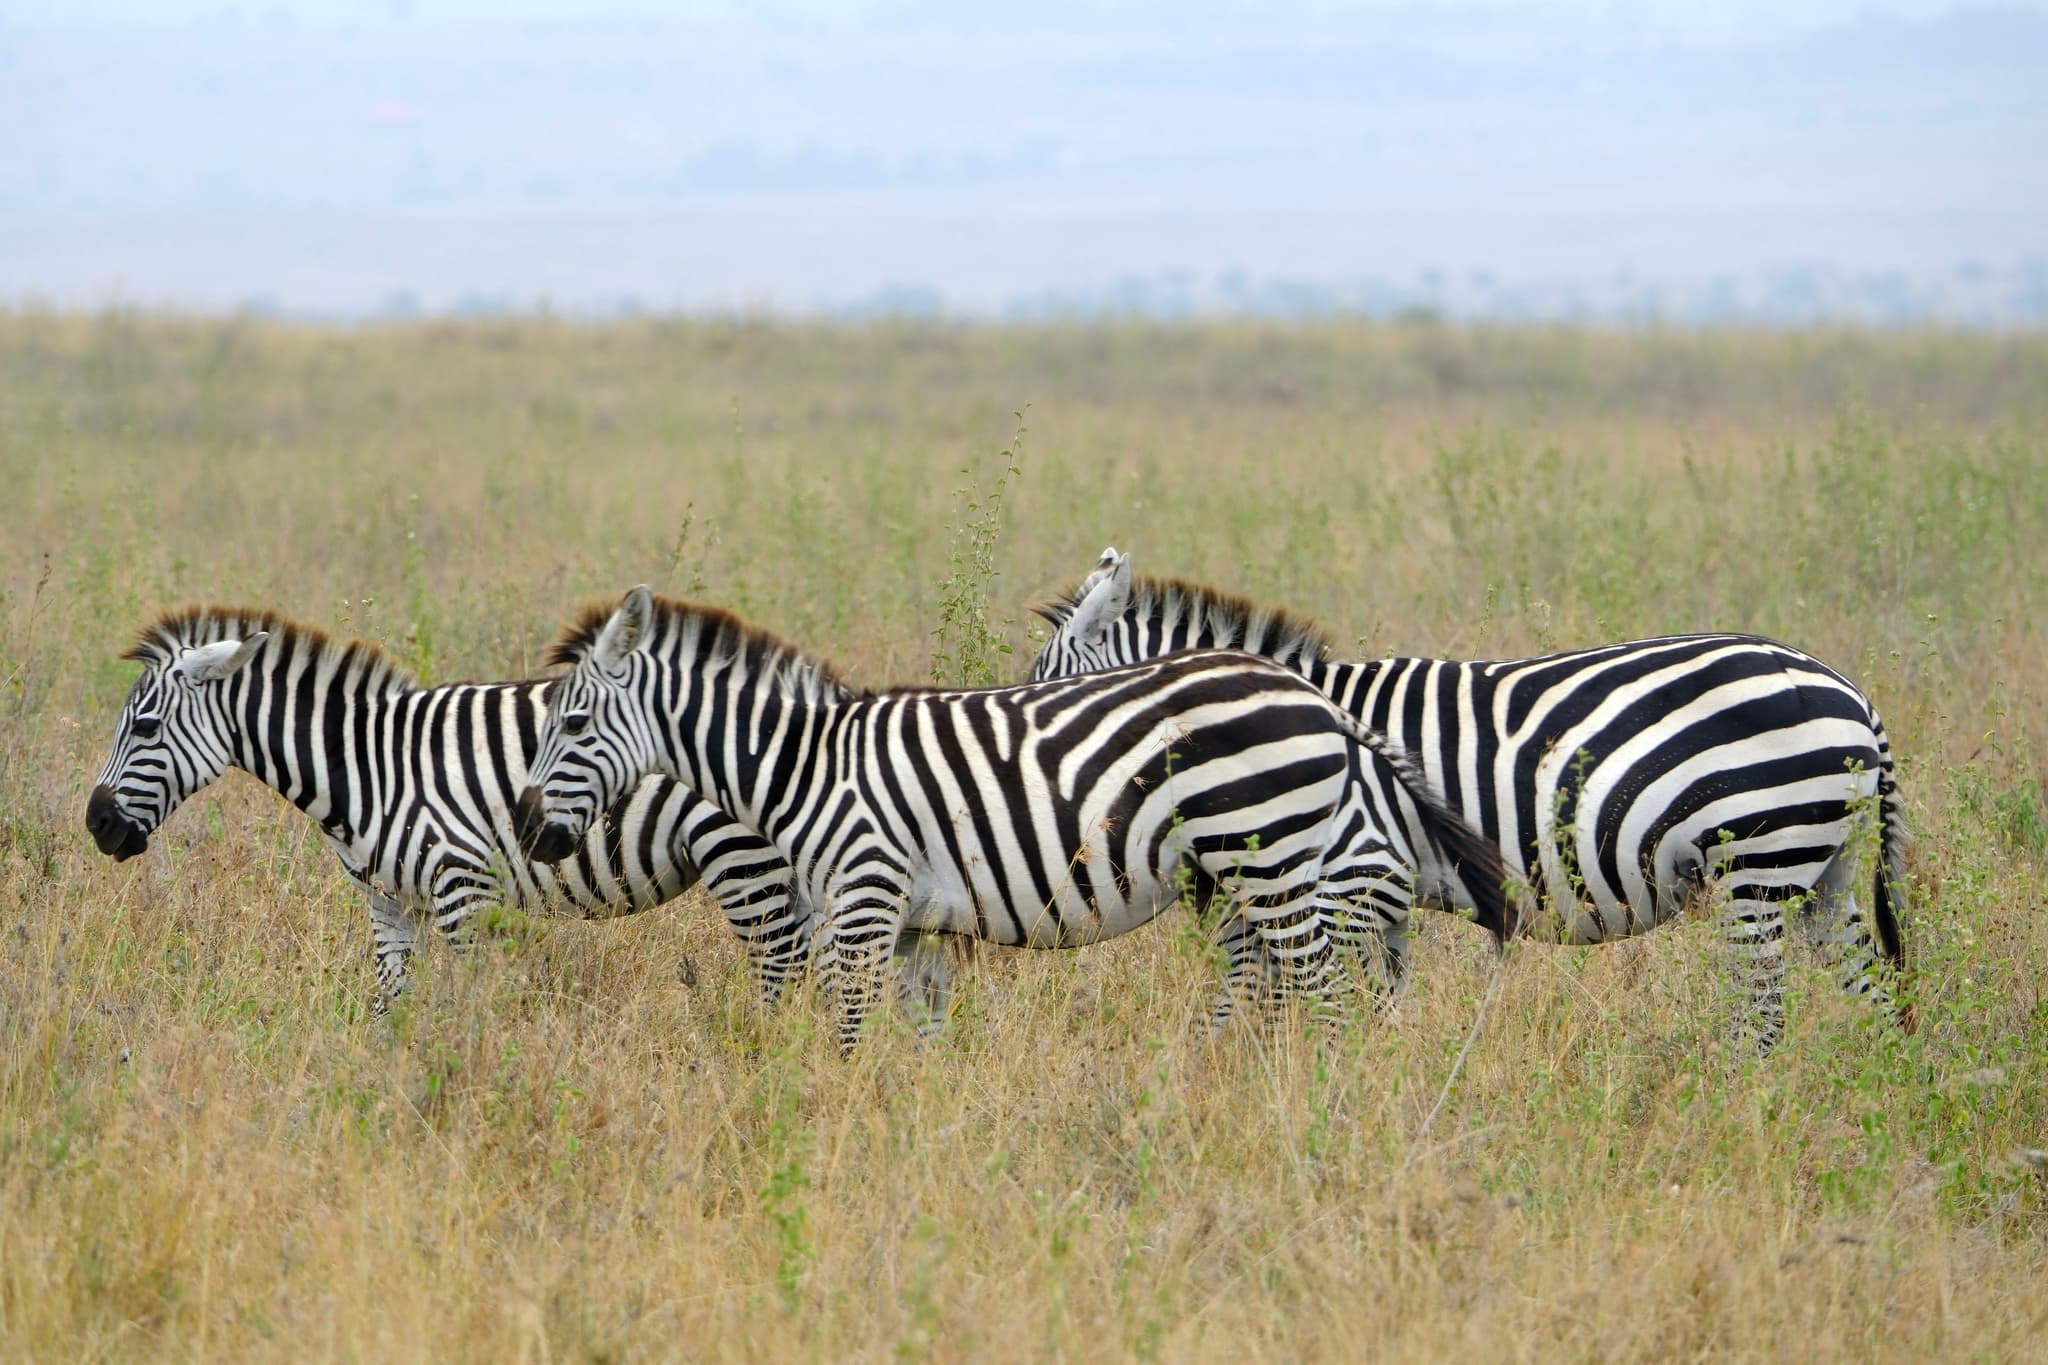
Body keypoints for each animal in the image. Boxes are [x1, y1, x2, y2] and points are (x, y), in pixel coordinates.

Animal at [83, 604, 848, 1013]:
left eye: (144, 727)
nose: (95, 824)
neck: (367, 766)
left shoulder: (463, 893)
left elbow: (476, 1009)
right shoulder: (390, 902)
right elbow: (389, 1008)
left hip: (744, 863)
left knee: (779, 970)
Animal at [512, 585, 1517, 1054]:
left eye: (573, 723)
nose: (527, 834)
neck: (806, 763)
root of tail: (1316, 695)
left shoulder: (863, 901)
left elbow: (847, 1029)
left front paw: (831, 1121)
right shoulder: (909, 925)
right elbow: (916, 1037)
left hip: (1273, 858)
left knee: (1327, 995)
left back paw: (1318, 1105)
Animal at [1030, 548, 1912, 1053]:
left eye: (1048, 698)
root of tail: (1849, 692)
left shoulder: (1337, 876)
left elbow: (1289, 989)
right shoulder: (1362, 891)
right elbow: (1355, 996)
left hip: (1761, 863)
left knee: (1762, 1014)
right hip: (1820, 869)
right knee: (1877, 992)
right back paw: (1886, 1097)